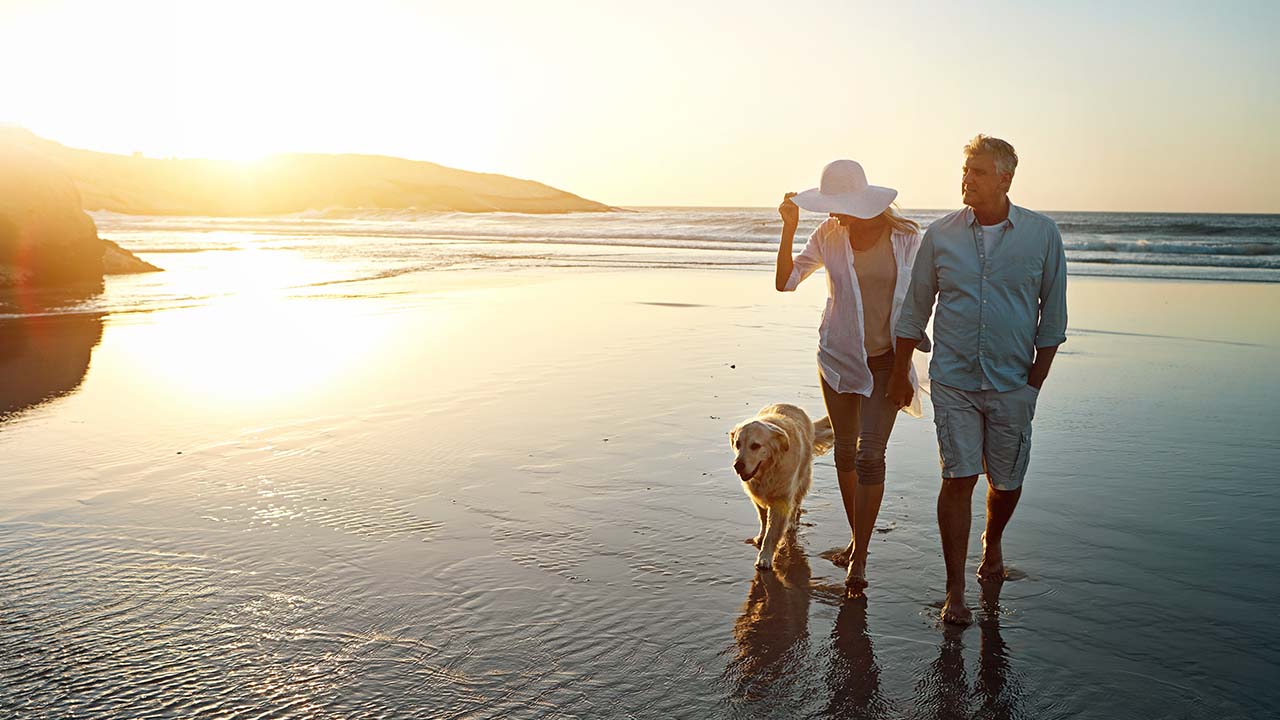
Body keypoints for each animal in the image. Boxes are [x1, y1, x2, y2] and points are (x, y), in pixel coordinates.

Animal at [737, 407, 834, 568]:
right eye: (737, 444)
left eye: (755, 446)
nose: (737, 466)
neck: (768, 470)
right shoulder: (757, 496)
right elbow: (763, 519)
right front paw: (761, 536)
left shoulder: (781, 499)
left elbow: (772, 532)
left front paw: (764, 557)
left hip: (802, 480)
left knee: (796, 503)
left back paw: (792, 524)